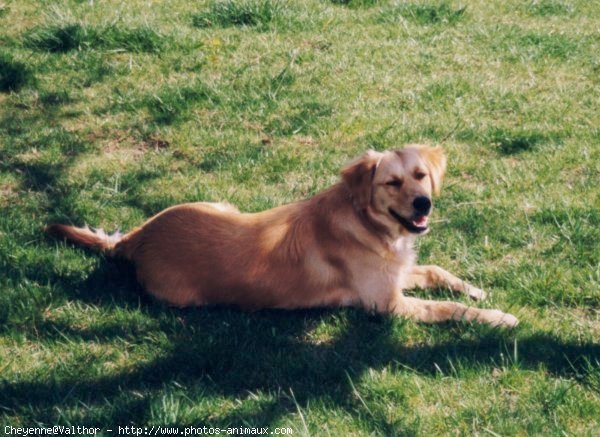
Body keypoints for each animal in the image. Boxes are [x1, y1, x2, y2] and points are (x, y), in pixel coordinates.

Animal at [45, 145, 516, 326]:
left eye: (420, 175)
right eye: (391, 183)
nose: (423, 204)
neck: (371, 224)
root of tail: (137, 238)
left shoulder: (398, 274)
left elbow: (437, 271)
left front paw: (474, 288)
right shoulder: (386, 303)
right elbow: (447, 309)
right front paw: (498, 317)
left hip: (219, 204)